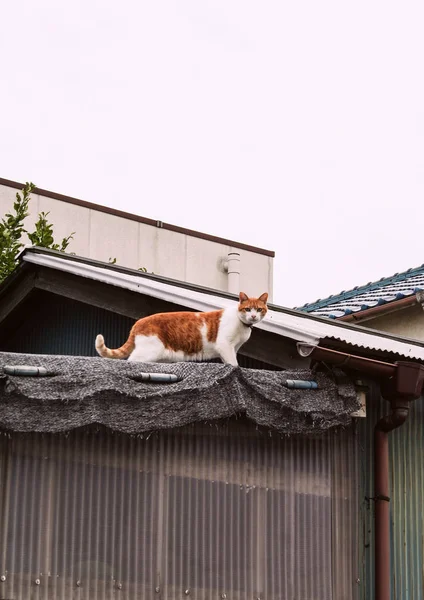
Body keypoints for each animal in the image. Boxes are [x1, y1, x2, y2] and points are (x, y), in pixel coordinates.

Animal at [96, 290, 268, 366]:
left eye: (259, 309)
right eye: (248, 309)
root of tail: (138, 322)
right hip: (149, 351)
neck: (242, 325)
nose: (253, 316)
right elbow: (233, 364)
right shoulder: (224, 345)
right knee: (131, 360)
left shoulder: (233, 348)